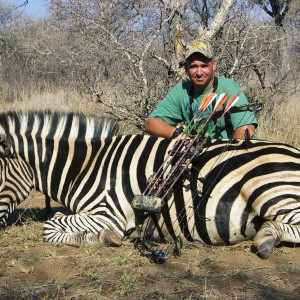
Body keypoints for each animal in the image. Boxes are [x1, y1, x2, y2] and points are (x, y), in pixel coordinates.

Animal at [0, 111, 298, 258]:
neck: (86, 166)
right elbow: (56, 220)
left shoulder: (109, 213)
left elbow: (50, 226)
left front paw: (102, 237)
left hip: (268, 188)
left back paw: (266, 239)